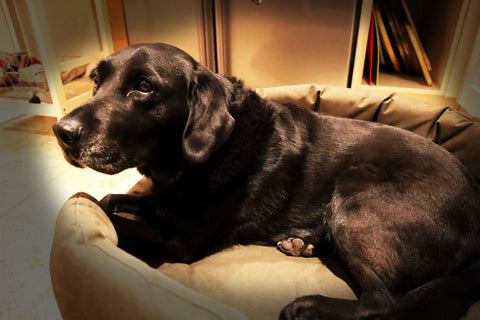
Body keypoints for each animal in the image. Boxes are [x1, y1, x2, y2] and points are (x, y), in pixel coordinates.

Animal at [52, 43, 480, 320]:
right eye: (95, 80)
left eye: (144, 86)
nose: (61, 131)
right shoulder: (163, 201)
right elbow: (108, 202)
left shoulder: (180, 241)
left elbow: (114, 220)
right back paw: (302, 243)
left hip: (357, 201)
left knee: (384, 301)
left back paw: (310, 306)